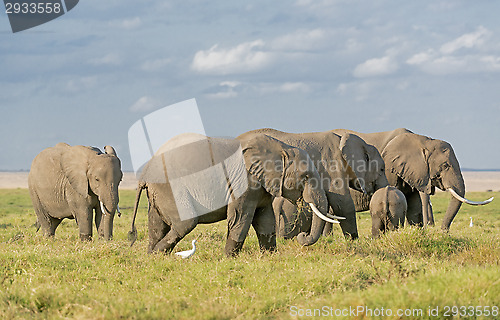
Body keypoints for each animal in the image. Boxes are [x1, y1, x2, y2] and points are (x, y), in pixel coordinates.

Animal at [128, 133, 340, 258]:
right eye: (306, 177)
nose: (302, 237)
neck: (280, 148)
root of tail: (145, 173)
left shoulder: (261, 186)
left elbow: (265, 219)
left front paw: (270, 257)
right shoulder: (244, 181)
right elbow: (240, 218)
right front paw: (229, 259)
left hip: (159, 192)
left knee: (156, 225)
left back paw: (151, 257)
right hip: (171, 188)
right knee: (185, 223)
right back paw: (158, 254)